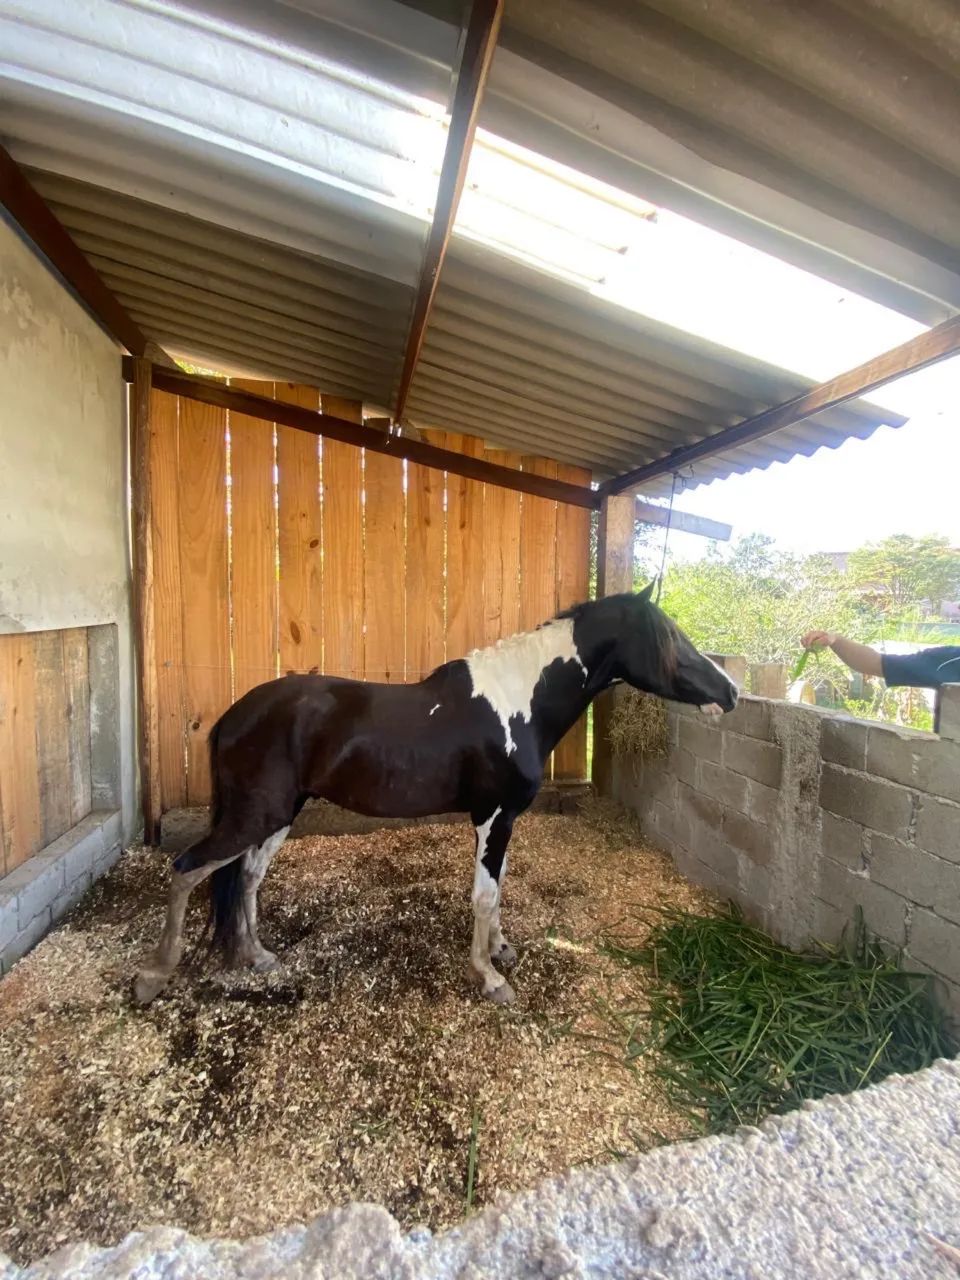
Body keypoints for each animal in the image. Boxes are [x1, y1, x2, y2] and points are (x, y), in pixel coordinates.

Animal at [133, 584, 738, 1007]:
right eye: (672, 639)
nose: (730, 692)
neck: (518, 703)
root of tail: (232, 717)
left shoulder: (504, 820)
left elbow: (498, 887)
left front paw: (499, 949)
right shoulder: (492, 816)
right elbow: (484, 896)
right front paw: (490, 977)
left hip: (278, 815)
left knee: (248, 877)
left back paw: (258, 956)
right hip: (256, 814)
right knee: (187, 869)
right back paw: (154, 975)